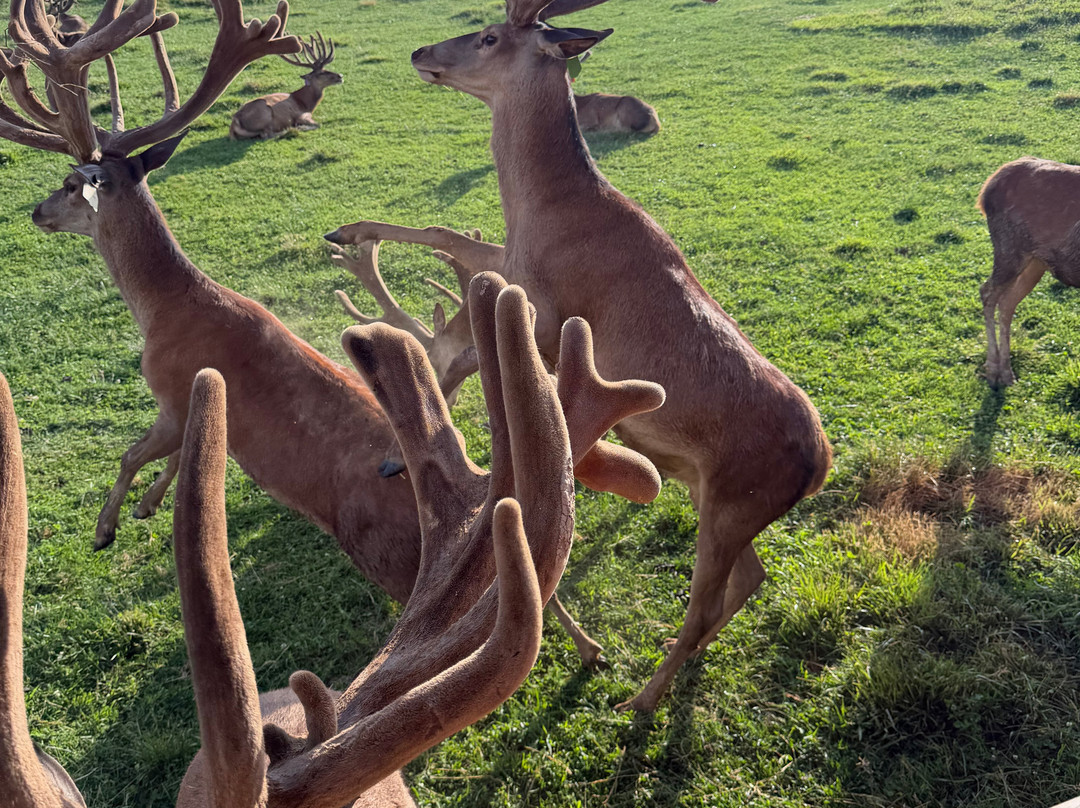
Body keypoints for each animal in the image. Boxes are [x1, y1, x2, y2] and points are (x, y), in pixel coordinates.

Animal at [329, 0, 834, 712]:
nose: (421, 51)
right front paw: (348, 231)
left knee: (707, 603)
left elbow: (457, 276)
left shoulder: (543, 306)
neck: (544, 209)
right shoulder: (514, 268)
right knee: (752, 578)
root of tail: (819, 466)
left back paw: (640, 699)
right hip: (719, 498)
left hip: (737, 502)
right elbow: (446, 239)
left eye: (490, 36)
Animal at [977, 156, 1080, 389]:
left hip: (1035, 262)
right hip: (1008, 249)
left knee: (1006, 302)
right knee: (987, 292)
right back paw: (994, 369)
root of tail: (986, 191)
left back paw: (1006, 372)